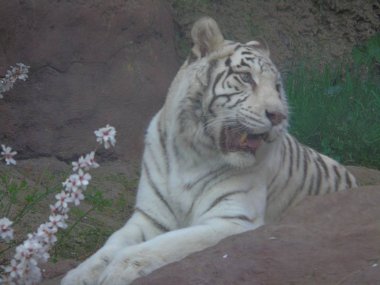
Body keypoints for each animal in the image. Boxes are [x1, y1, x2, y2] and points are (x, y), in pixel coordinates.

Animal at [62, 16, 356, 282]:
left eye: (277, 87)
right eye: (246, 77)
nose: (278, 116)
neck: (191, 152)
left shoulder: (232, 220)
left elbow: (167, 243)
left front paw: (120, 270)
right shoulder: (150, 217)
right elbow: (110, 245)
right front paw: (79, 275)